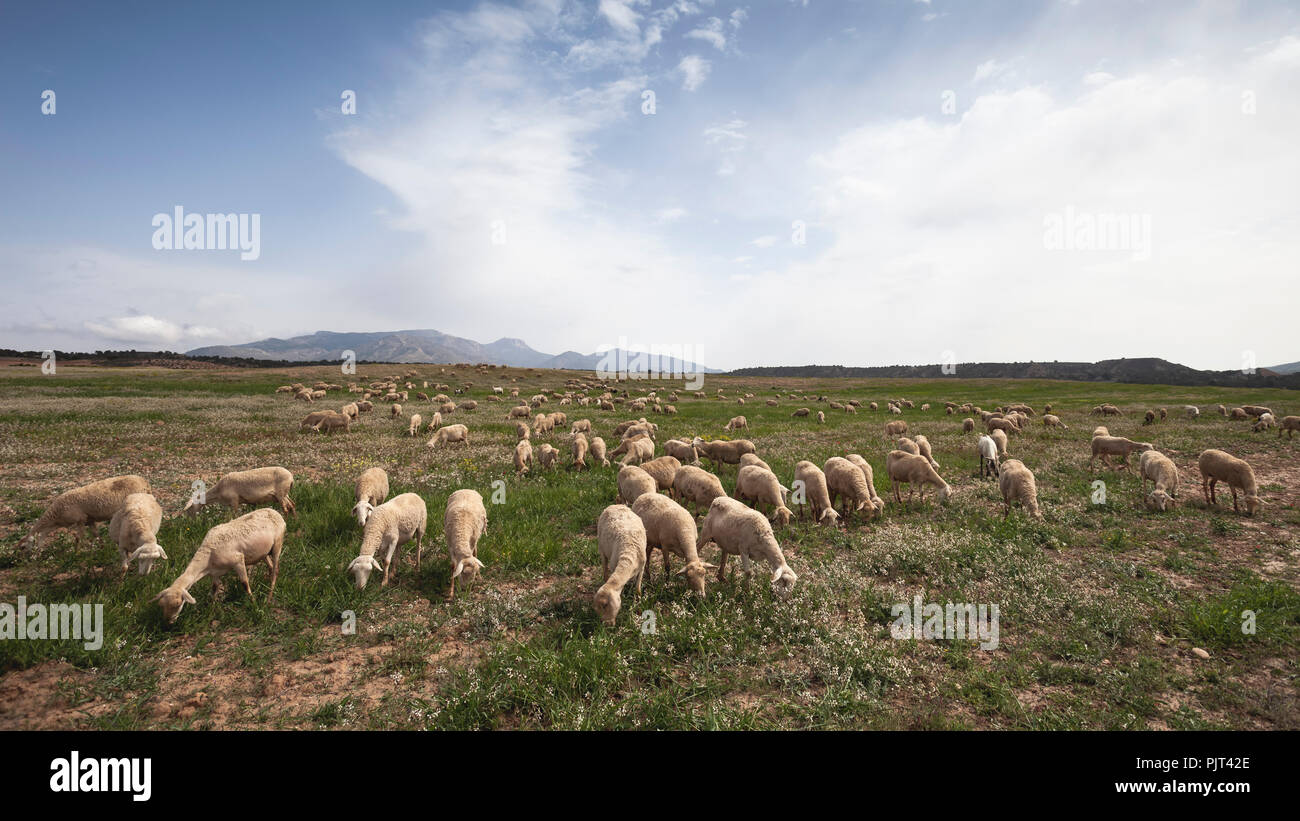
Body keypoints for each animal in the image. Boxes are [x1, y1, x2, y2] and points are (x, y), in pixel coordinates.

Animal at [19, 474, 152, 550]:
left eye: (22, 547)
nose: (28, 560)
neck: (56, 517)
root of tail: (144, 481)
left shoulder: (80, 519)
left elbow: (78, 537)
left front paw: (77, 552)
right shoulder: (89, 520)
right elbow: (96, 535)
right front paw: (102, 548)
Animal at [154, 508, 285, 624]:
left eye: (178, 604)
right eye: (161, 605)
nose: (168, 622)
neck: (208, 556)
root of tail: (275, 512)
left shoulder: (238, 560)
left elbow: (244, 584)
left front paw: (253, 604)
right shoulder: (215, 573)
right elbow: (214, 590)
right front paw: (210, 611)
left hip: (277, 544)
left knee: (276, 570)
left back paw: (269, 597)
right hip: (264, 552)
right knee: (270, 566)